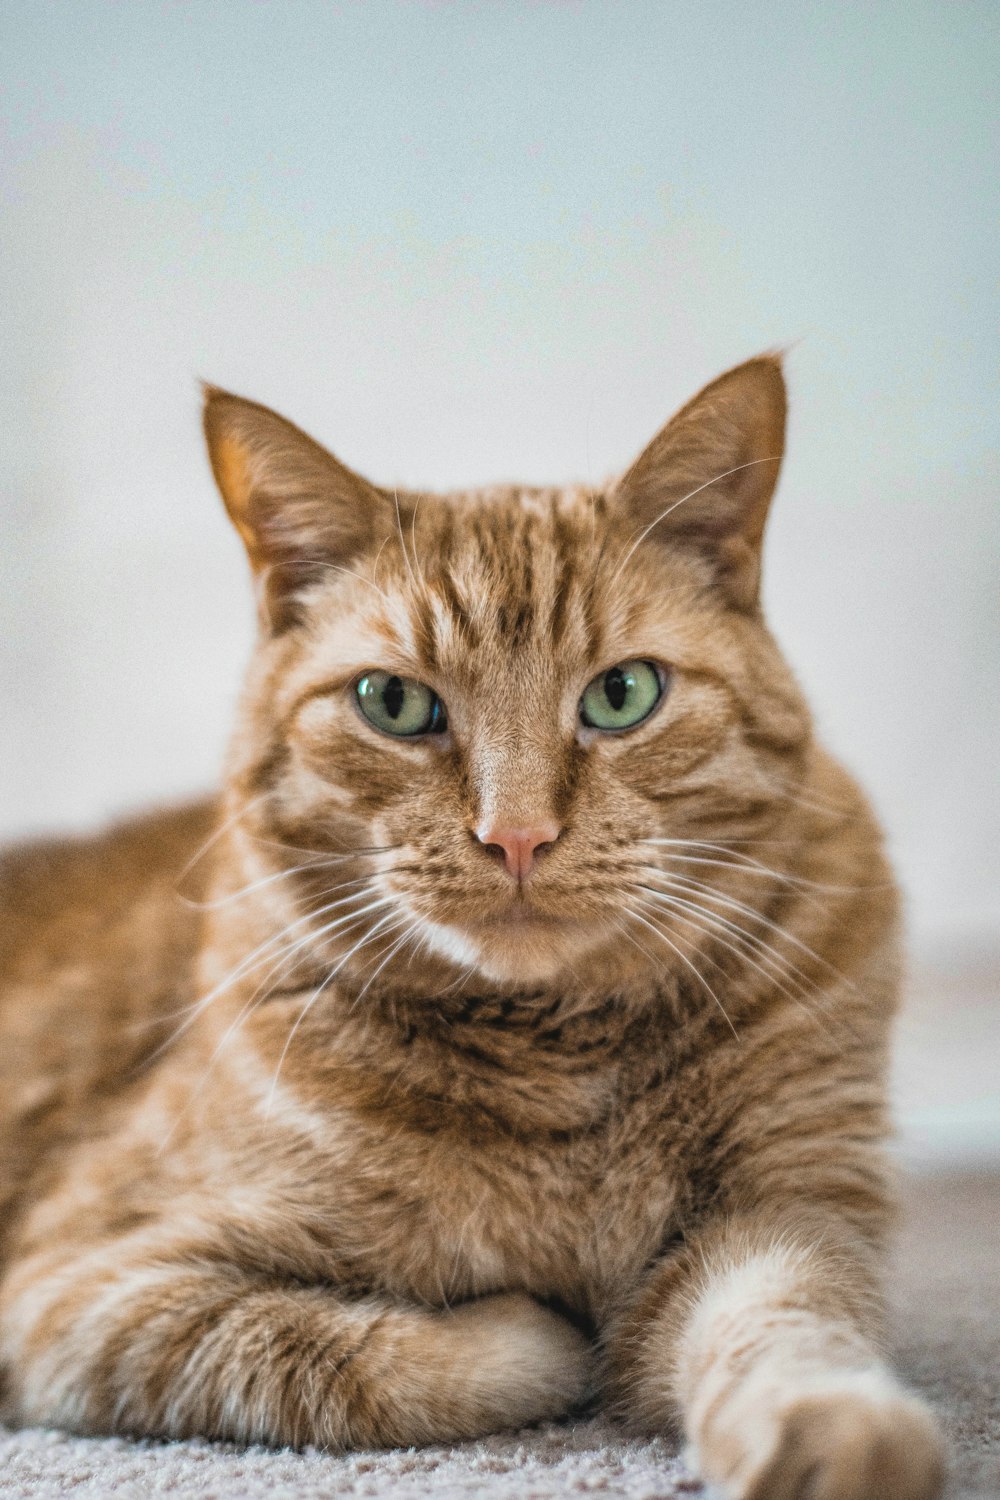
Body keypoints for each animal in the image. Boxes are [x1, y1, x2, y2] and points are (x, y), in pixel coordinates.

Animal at [0, 357, 947, 1494]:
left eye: (623, 694)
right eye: (393, 703)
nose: (517, 834)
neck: (556, 1062)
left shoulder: (785, 1207)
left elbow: (789, 1317)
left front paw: (837, 1429)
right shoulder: (90, 1286)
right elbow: (385, 1356)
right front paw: (544, 1325)